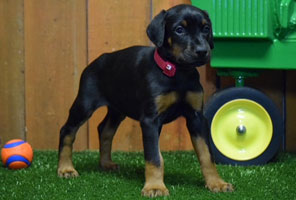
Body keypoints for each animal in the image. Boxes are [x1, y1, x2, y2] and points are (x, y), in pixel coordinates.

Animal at [57, 4, 234, 197]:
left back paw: (105, 164)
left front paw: (216, 183)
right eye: (179, 30)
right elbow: (154, 157)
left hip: (118, 108)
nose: (202, 51)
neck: (178, 73)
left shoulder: (197, 118)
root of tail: (95, 62)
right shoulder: (150, 120)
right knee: (67, 130)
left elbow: (206, 154)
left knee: (105, 129)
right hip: (85, 103)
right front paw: (155, 187)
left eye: (206, 28)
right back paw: (65, 168)